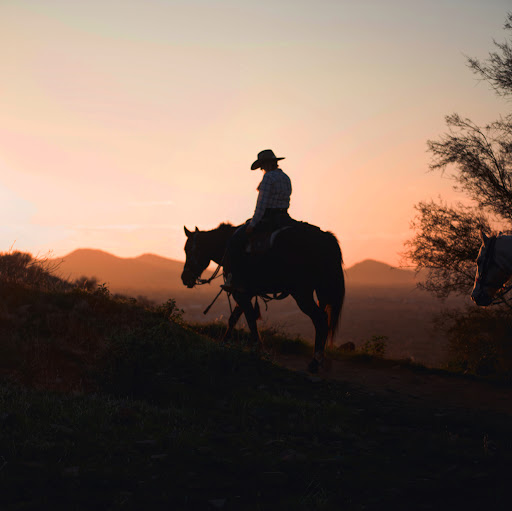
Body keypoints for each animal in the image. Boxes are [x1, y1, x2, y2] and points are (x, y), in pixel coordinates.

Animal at [180, 222, 344, 374]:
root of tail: (324, 238)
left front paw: (257, 348)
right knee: (323, 321)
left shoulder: (239, 293)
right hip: (321, 293)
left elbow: (250, 319)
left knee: (320, 319)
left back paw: (315, 362)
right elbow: (234, 318)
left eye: (189, 250)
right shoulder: (245, 292)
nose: (184, 278)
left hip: (302, 294)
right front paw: (224, 341)